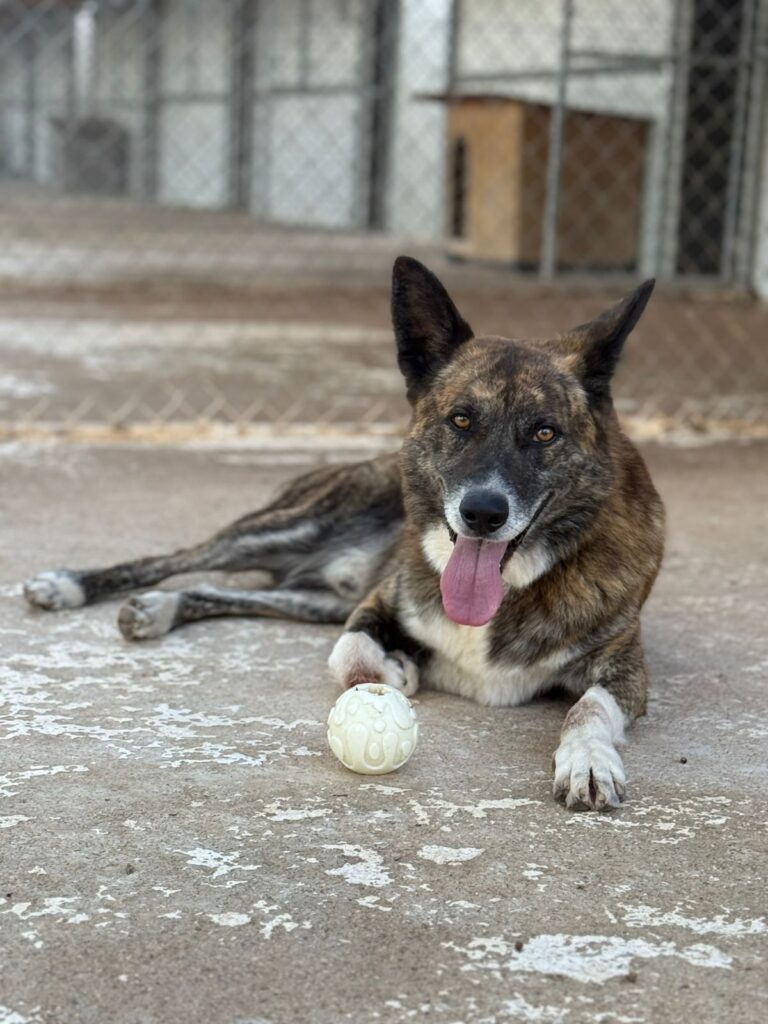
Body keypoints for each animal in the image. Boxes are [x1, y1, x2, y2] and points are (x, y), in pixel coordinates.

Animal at [23, 257, 664, 811]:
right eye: (461, 420)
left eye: (545, 433)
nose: (482, 513)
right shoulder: (375, 602)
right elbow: (349, 654)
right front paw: (394, 673)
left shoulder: (625, 669)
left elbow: (586, 710)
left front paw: (587, 762)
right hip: (292, 524)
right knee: (178, 557)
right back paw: (69, 584)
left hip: (316, 596)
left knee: (229, 590)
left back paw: (159, 607)